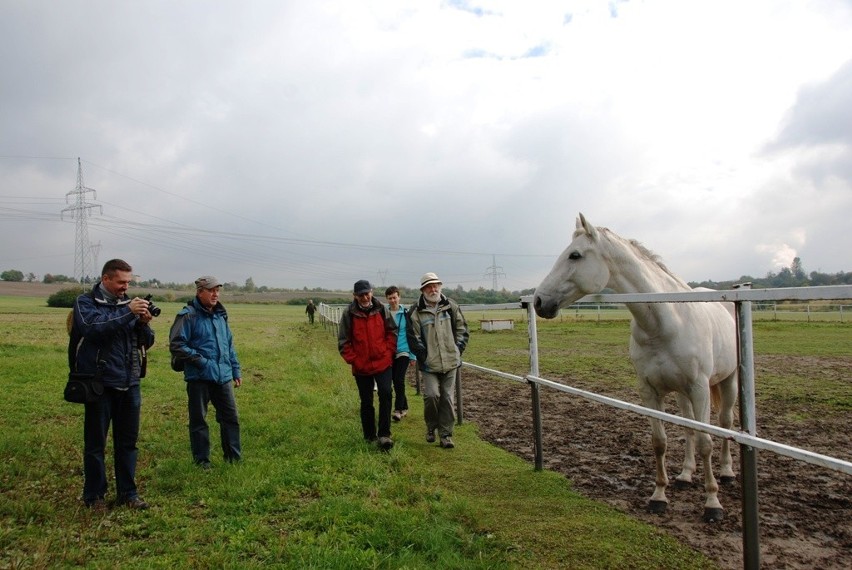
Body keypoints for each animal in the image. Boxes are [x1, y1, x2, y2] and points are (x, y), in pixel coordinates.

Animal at [532, 212, 740, 520]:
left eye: (575, 255)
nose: (538, 301)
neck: (665, 323)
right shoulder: (649, 390)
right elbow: (659, 442)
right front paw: (659, 496)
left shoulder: (700, 388)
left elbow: (706, 443)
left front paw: (712, 503)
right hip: (682, 393)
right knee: (689, 429)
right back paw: (686, 475)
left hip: (728, 382)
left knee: (725, 423)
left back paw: (726, 472)